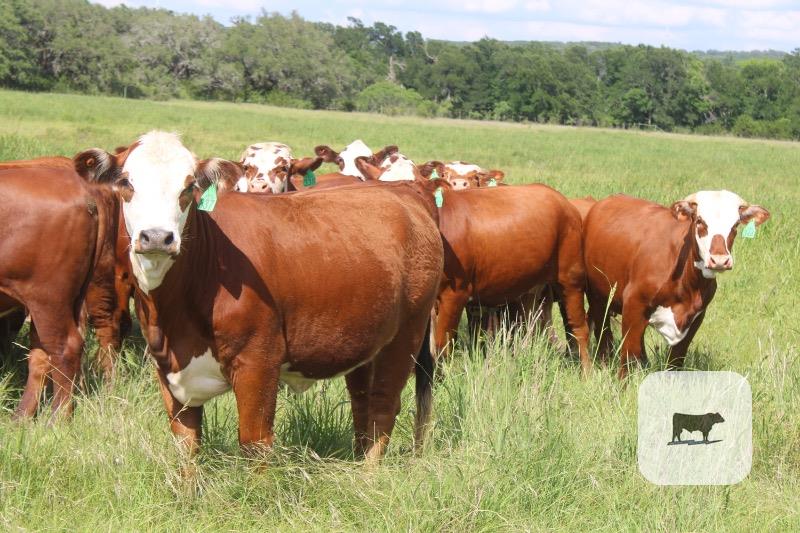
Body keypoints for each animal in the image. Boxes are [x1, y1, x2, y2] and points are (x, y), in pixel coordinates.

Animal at [76, 131, 443, 461]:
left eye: (189, 186)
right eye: (126, 182)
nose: (156, 237)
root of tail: (405, 193)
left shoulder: (259, 362)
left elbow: (255, 442)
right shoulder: (169, 368)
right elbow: (186, 445)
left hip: (405, 335)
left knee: (383, 405)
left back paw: (368, 474)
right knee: (362, 402)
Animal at [583, 191, 770, 378]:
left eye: (735, 224)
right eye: (699, 221)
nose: (719, 260)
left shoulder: (696, 317)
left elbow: (675, 361)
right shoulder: (633, 304)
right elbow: (628, 355)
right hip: (598, 296)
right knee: (603, 333)